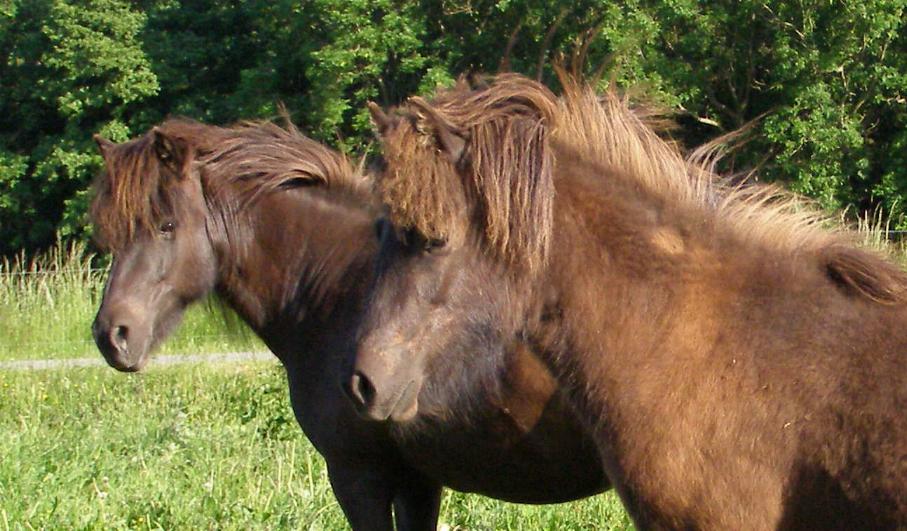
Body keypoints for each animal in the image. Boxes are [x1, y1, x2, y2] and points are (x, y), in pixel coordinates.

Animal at [88, 118, 608, 531]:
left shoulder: (357, 475)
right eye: (111, 230)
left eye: (166, 225)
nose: (112, 335)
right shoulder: (417, 480)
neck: (339, 291)